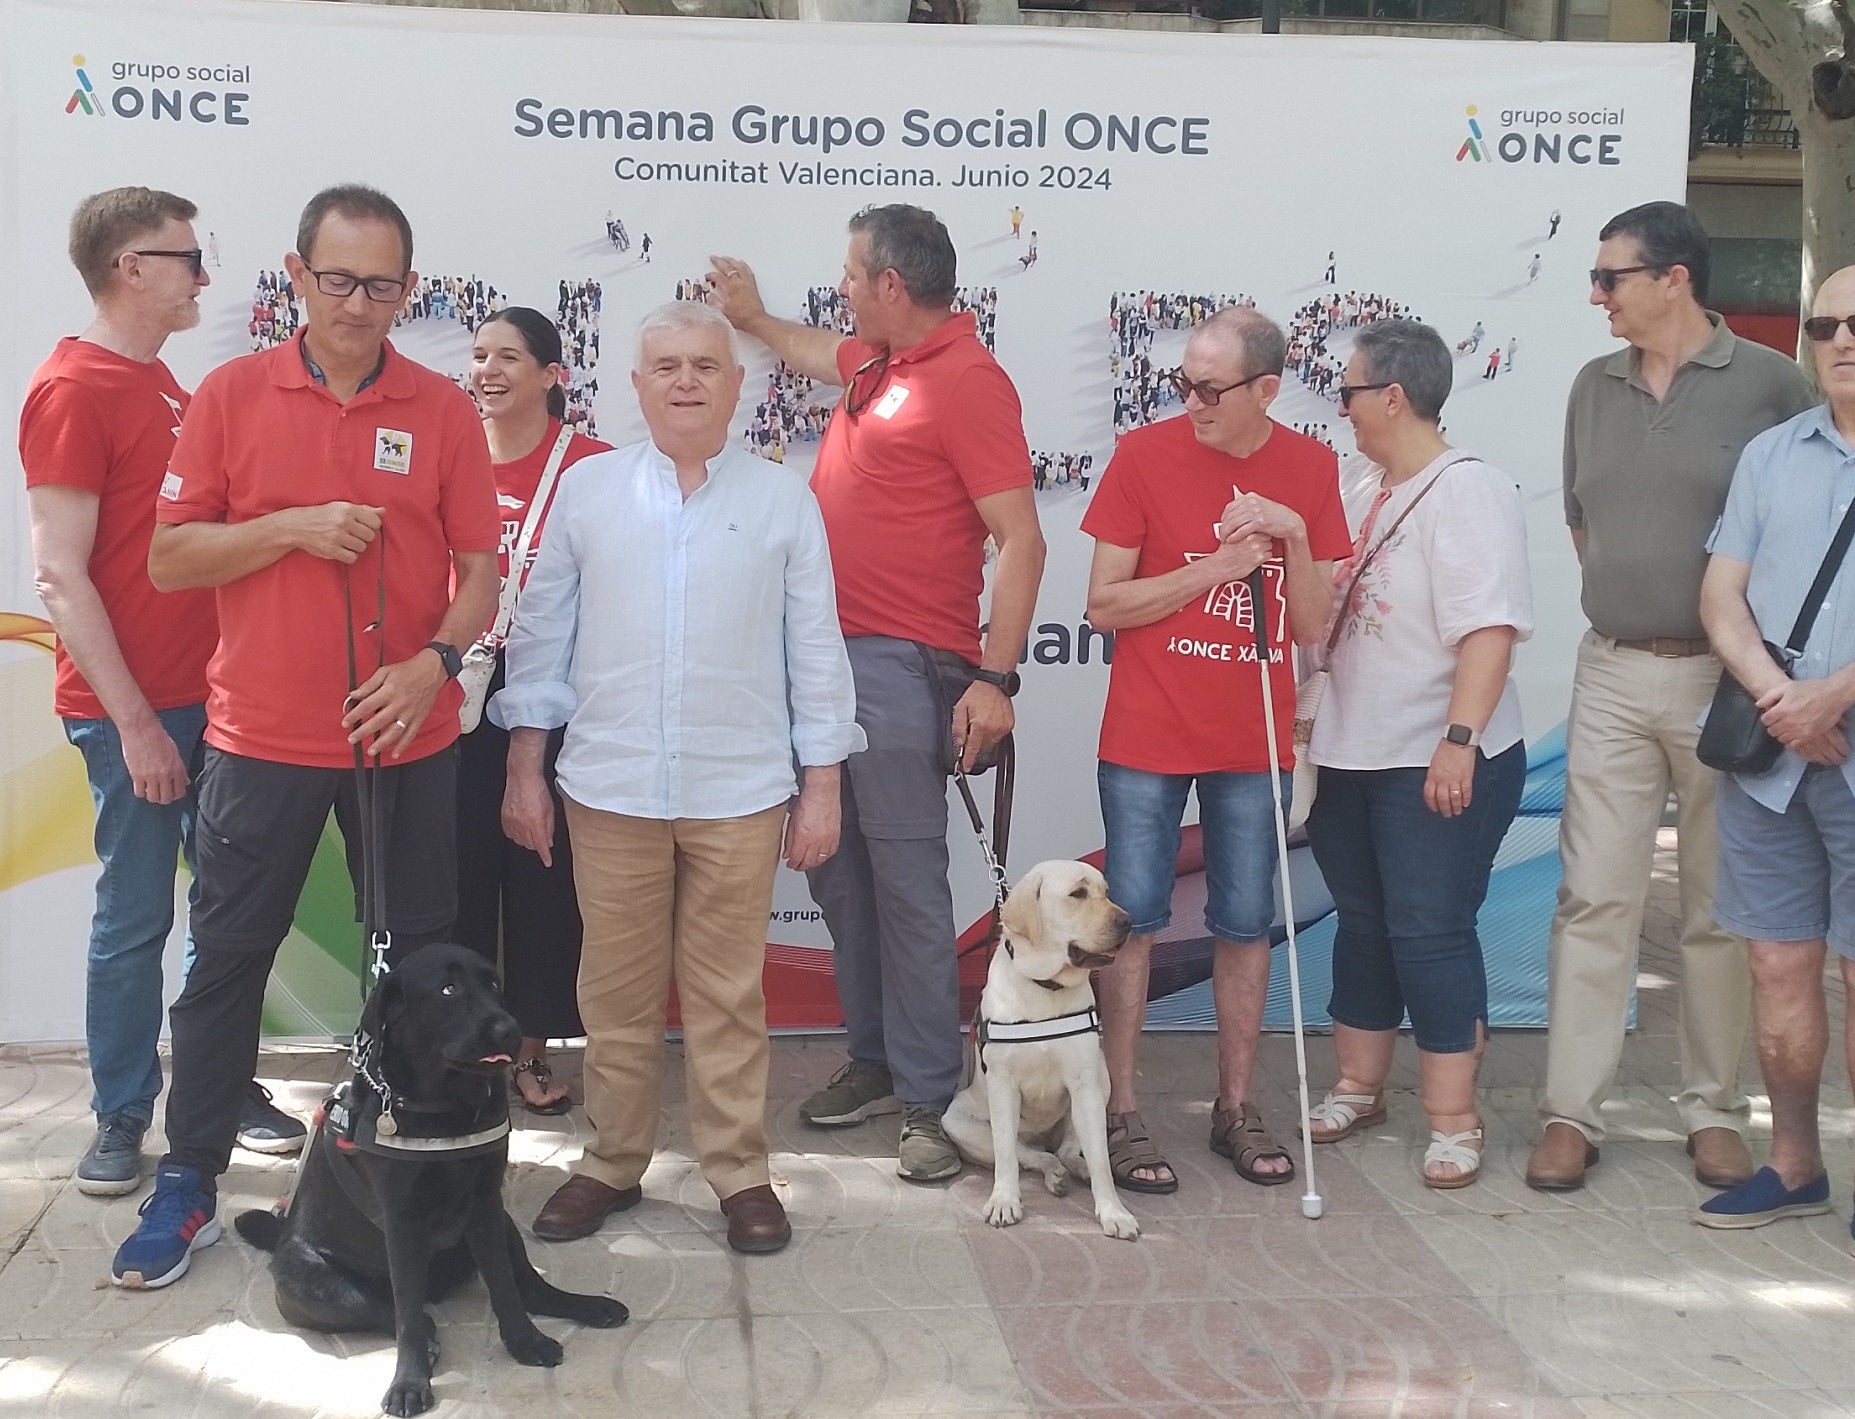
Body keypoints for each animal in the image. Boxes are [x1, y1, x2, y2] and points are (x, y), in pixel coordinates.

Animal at [235, 942, 626, 1417]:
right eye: (448, 989)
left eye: (494, 984)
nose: (511, 1030)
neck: (448, 1102)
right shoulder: (403, 1225)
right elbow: (405, 1314)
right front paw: (409, 1381)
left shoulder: (485, 1206)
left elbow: (506, 1288)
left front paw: (525, 1342)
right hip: (306, 1281)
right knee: (391, 1310)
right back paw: (428, 1335)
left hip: (505, 1225)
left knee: (531, 1288)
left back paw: (589, 1307)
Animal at [949, 856, 1135, 1231]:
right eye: (1077, 894)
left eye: (1106, 892)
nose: (1128, 922)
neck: (1046, 986)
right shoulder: (1002, 1085)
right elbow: (1007, 1154)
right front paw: (1004, 1201)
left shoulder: (1085, 1085)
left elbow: (1101, 1159)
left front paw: (1113, 1211)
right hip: (957, 1122)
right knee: (1032, 1155)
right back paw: (1054, 1174)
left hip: (1102, 1079)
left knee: (1066, 1151)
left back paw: (1075, 1170)